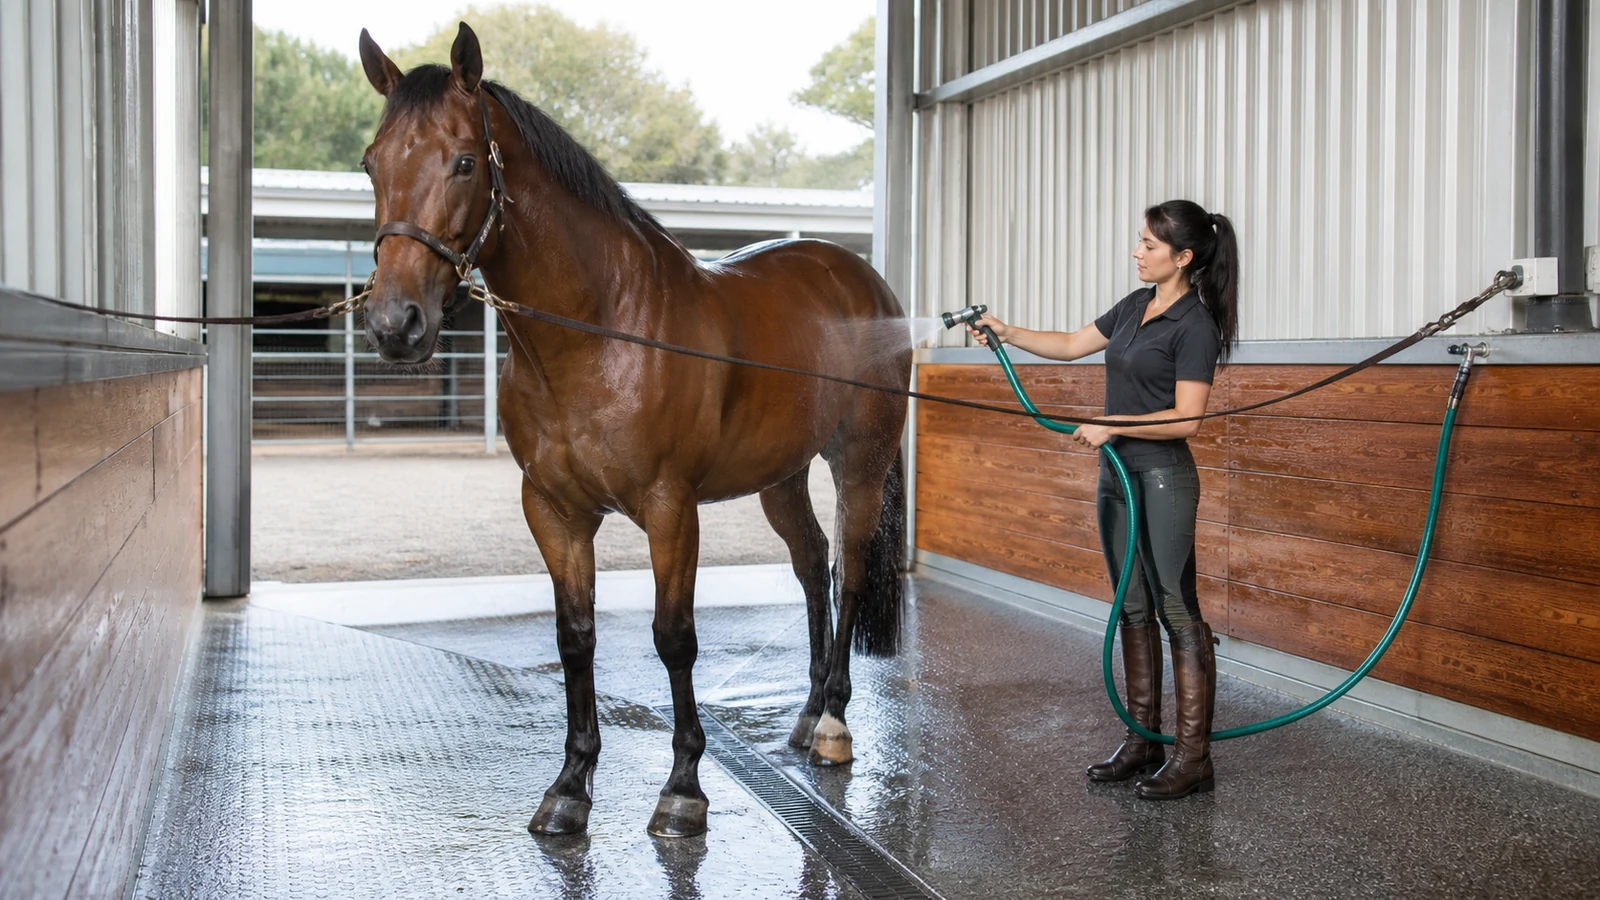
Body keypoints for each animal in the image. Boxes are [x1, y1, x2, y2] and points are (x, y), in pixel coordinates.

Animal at [356, 23, 910, 838]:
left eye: (463, 161)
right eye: (372, 163)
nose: (397, 325)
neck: (600, 330)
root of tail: (863, 280)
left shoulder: (670, 509)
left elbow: (673, 638)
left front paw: (683, 789)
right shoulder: (554, 510)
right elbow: (574, 637)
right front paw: (570, 787)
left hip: (860, 463)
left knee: (852, 567)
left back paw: (836, 725)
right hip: (781, 474)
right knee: (813, 566)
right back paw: (809, 715)